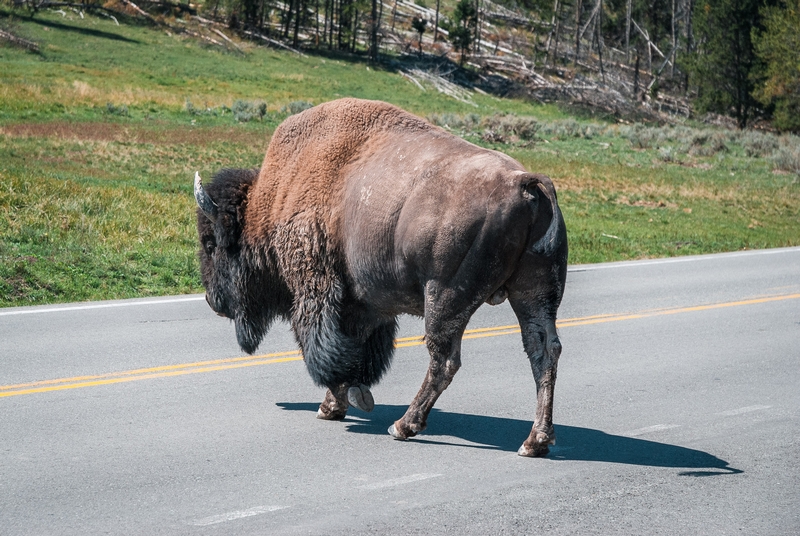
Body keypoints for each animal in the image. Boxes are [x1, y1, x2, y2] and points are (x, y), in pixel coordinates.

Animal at [195, 97, 568, 456]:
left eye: (211, 243)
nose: (212, 300)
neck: (274, 199)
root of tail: (524, 182)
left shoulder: (317, 293)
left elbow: (325, 350)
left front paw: (337, 404)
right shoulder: (366, 307)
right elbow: (357, 351)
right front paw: (341, 402)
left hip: (446, 296)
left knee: (445, 359)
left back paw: (404, 426)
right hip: (534, 295)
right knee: (543, 350)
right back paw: (536, 441)